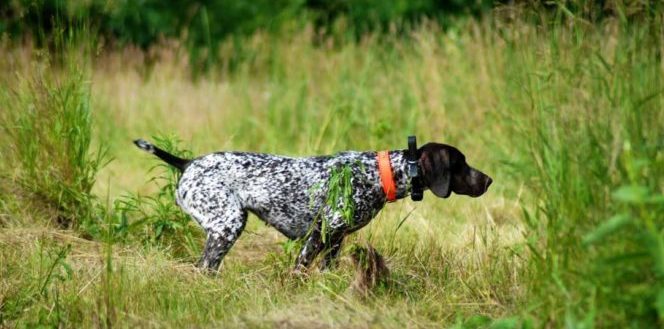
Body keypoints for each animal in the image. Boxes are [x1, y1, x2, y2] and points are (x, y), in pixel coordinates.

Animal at [134, 138, 492, 272]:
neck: (379, 173)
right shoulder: (323, 233)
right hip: (227, 224)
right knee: (204, 267)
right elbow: (300, 270)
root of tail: (188, 164)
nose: (488, 180)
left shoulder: (334, 239)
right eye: (461, 163)